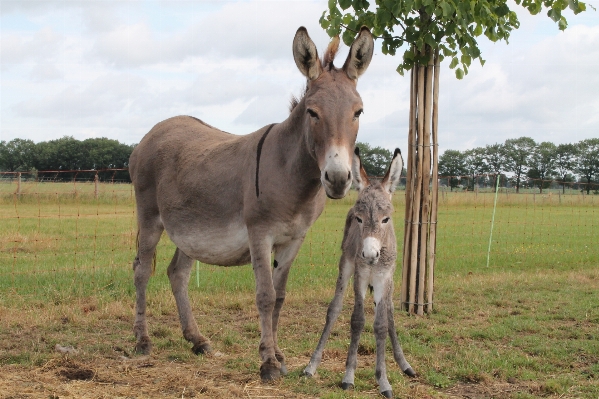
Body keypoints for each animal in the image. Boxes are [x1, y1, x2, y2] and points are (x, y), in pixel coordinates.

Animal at [304, 148, 418, 399]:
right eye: (359, 218)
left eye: (386, 219)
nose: (369, 254)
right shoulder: (360, 275)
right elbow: (357, 321)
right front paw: (348, 376)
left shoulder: (384, 277)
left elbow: (382, 324)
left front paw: (384, 380)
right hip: (346, 265)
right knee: (334, 309)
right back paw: (311, 366)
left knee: (390, 312)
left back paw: (405, 364)